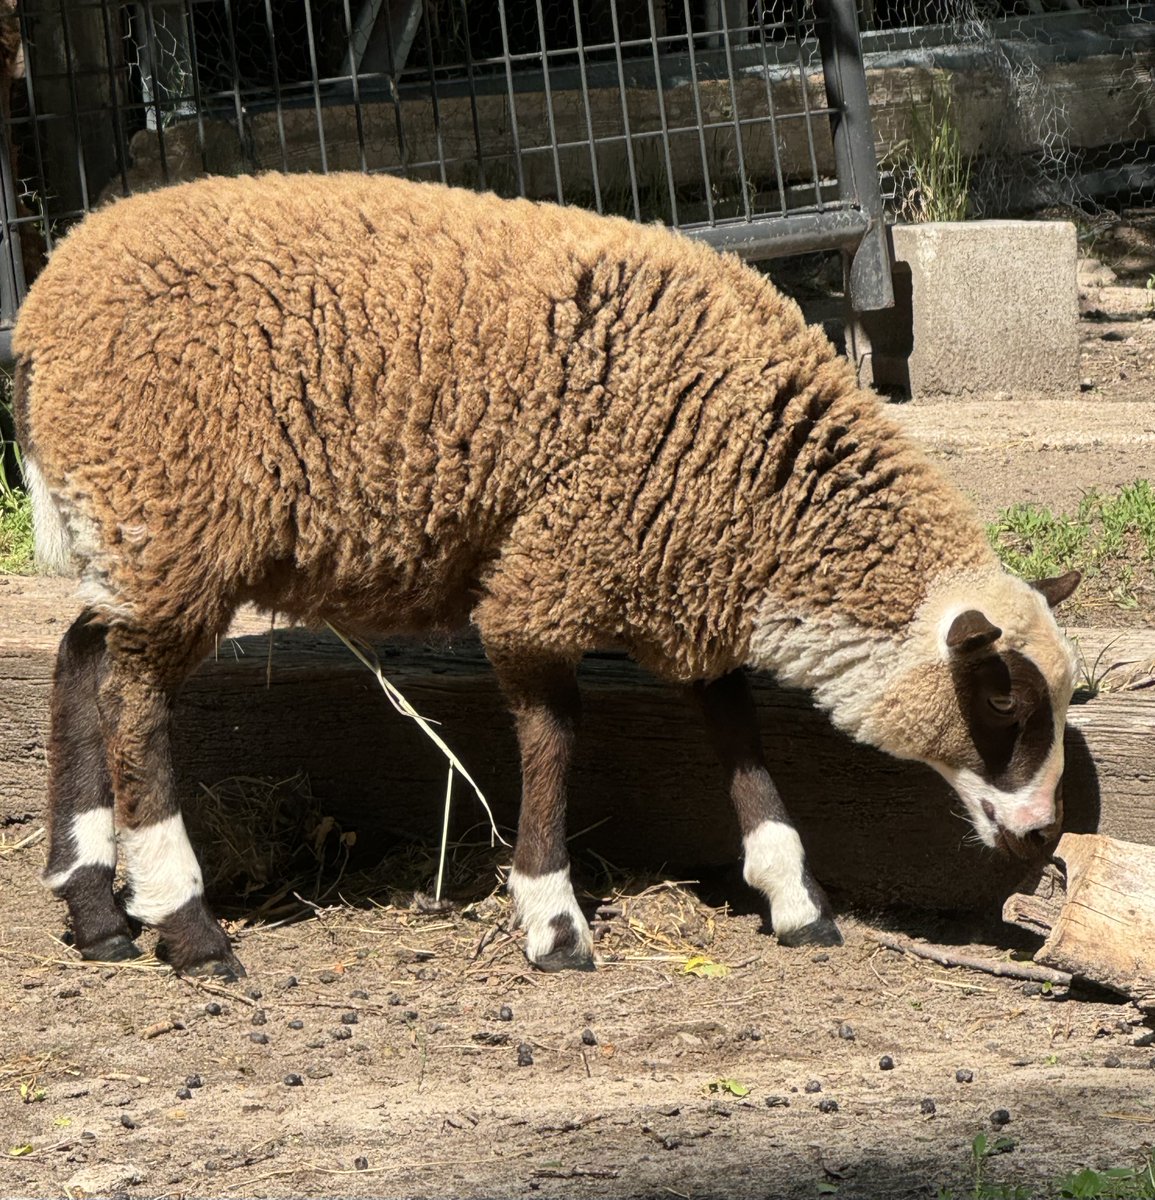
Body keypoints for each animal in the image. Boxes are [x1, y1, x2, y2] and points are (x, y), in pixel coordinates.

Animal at [13, 171, 1081, 979]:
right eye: (1001, 698)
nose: (1043, 837)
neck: (767, 492)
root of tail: (38, 318)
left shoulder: (688, 575)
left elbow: (735, 733)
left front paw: (794, 900)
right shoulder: (549, 575)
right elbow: (556, 741)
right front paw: (553, 922)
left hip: (129, 528)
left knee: (80, 660)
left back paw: (95, 913)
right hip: (172, 513)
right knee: (134, 700)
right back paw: (188, 927)